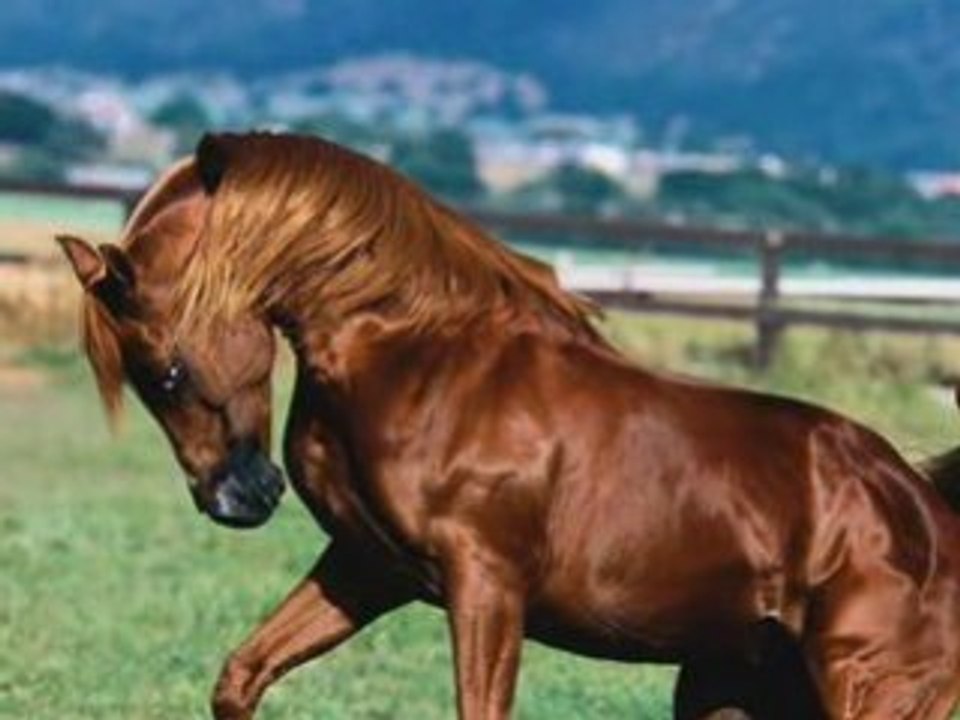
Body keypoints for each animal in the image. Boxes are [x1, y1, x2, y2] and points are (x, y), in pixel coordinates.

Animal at [57, 132, 960, 719]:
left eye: (166, 371)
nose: (236, 499)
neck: (421, 360)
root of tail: (923, 509)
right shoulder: (367, 568)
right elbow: (241, 677)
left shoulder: (485, 583)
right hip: (733, 692)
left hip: (870, 690)